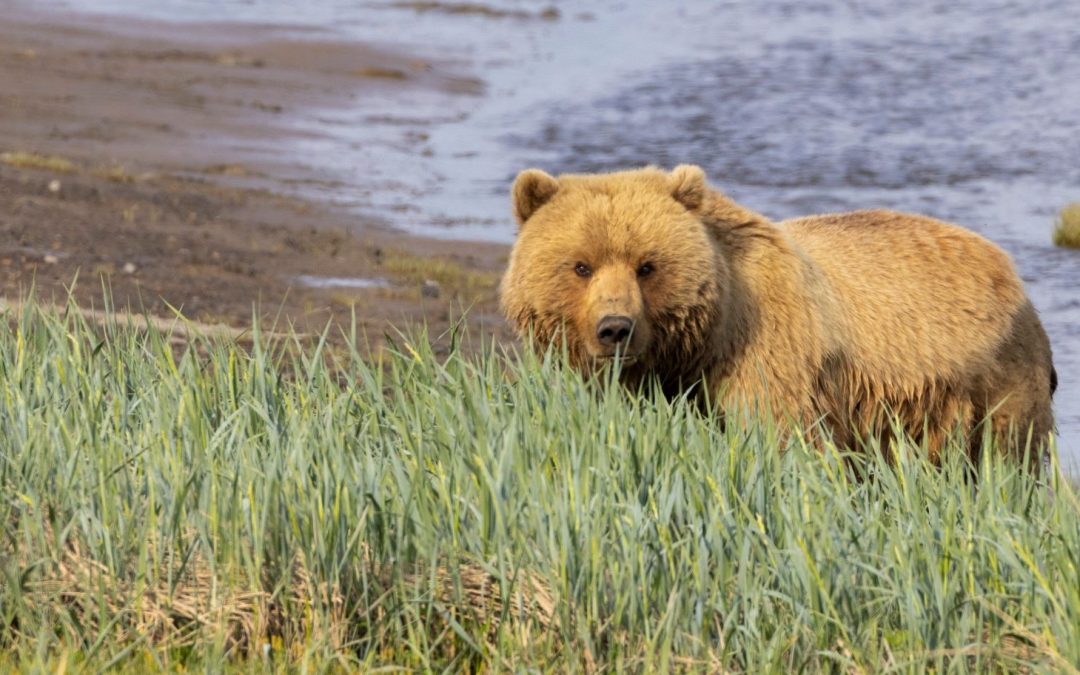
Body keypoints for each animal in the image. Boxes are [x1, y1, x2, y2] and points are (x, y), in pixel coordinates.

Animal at [499, 165, 1057, 463]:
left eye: (647, 266)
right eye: (581, 265)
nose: (615, 328)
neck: (704, 340)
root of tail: (1013, 273)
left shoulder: (770, 356)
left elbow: (782, 440)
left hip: (991, 381)